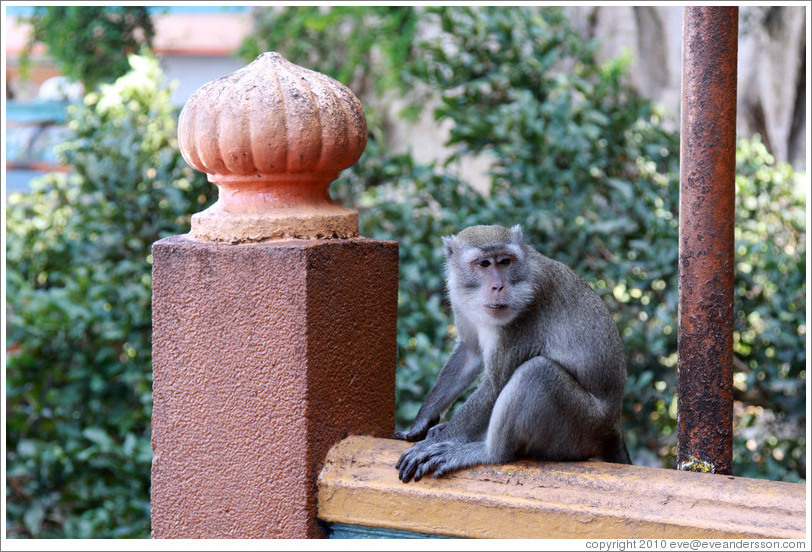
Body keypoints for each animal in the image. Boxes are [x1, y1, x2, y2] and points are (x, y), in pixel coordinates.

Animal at [394, 222, 636, 480]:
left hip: (583, 426)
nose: (498, 286)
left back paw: (488, 452)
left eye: (505, 261)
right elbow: (470, 351)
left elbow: (496, 385)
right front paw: (421, 422)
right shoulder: (459, 298)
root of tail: (613, 426)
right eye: (484, 264)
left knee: (538, 372)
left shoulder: (528, 308)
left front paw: (434, 442)